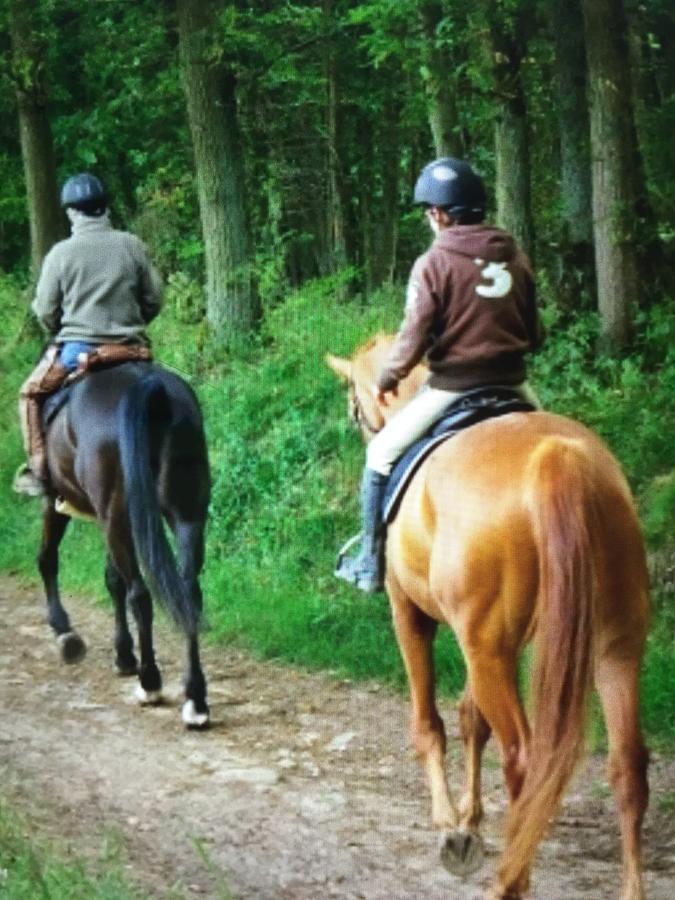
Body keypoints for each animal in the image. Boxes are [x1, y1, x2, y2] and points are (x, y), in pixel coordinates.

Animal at [37, 362, 211, 728]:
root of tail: (148, 386)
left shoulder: (54, 499)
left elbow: (48, 559)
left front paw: (64, 632)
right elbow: (112, 579)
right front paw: (123, 654)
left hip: (114, 513)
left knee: (140, 595)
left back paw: (150, 683)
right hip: (185, 510)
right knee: (188, 593)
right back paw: (196, 699)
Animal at [330, 336, 652, 900]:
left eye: (354, 402)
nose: (365, 424)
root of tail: (558, 459)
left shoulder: (411, 615)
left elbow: (431, 723)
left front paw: (450, 828)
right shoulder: (490, 643)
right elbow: (470, 719)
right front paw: (471, 818)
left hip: (489, 650)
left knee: (525, 758)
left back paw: (509, 881)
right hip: (612, 645)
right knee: (627, 766)